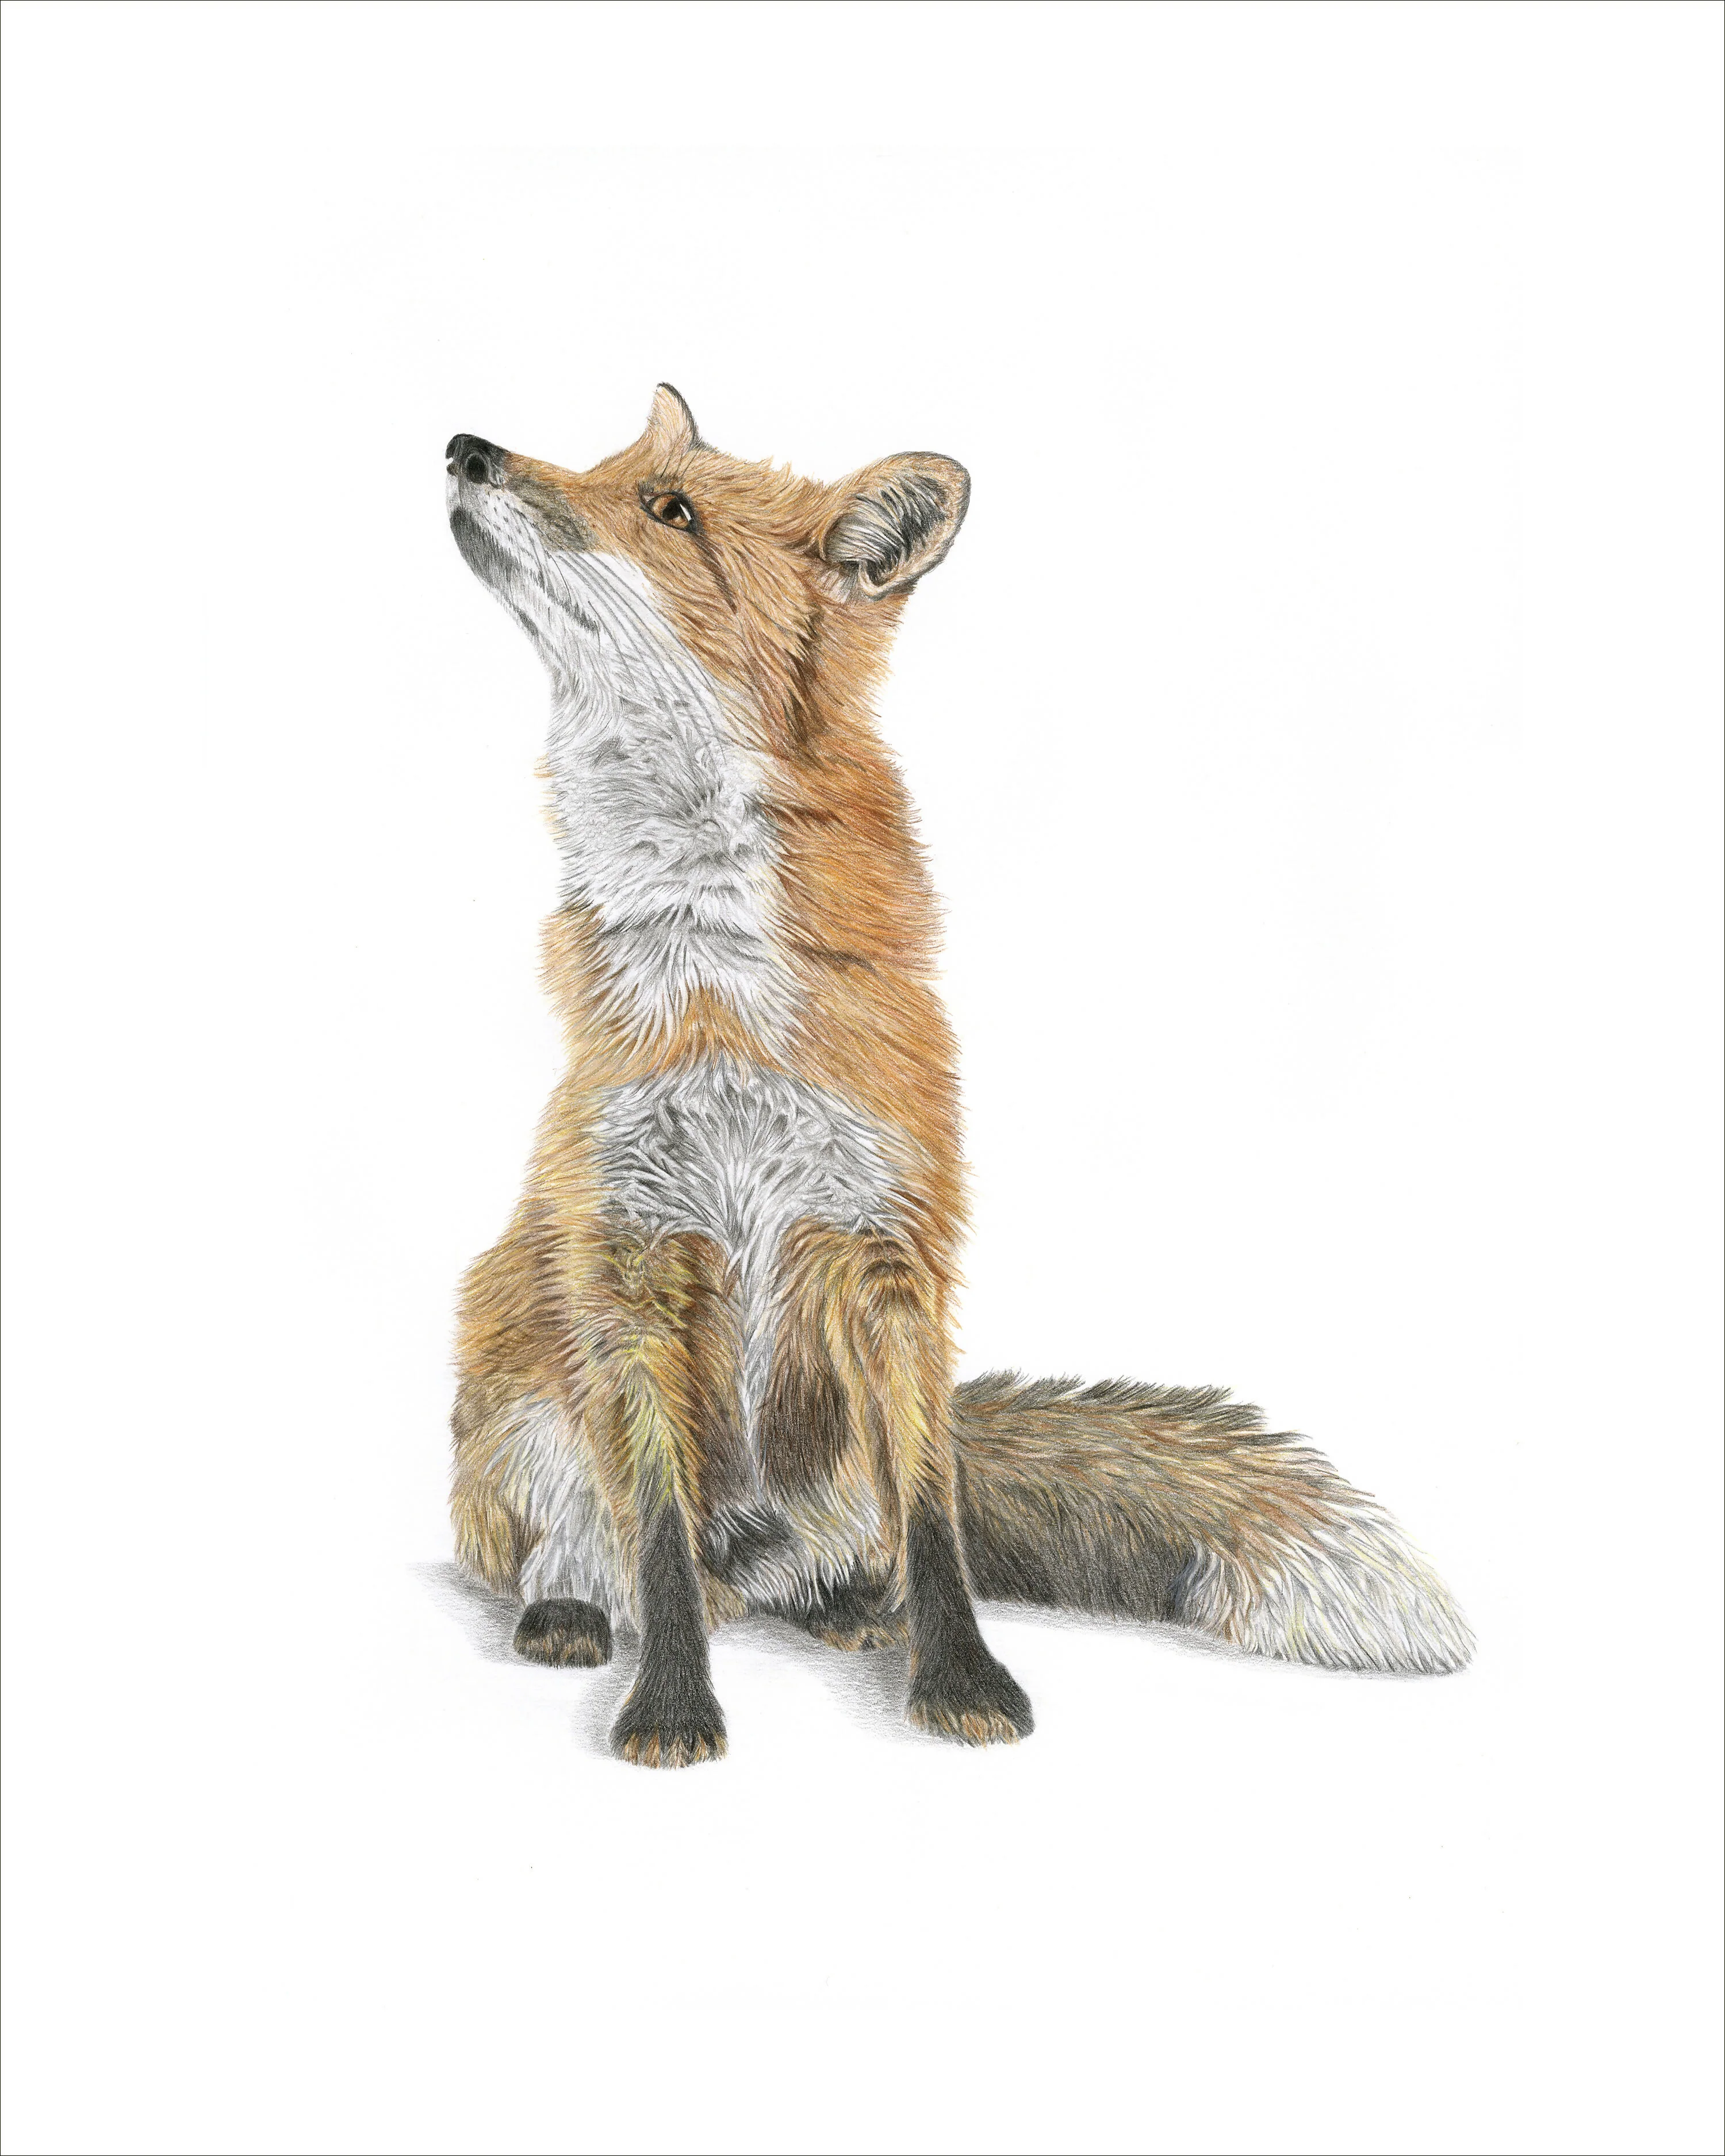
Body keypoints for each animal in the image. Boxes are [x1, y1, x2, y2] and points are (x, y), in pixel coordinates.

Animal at [444, 384, 1472, 1768]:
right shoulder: (630, 1251)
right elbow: (653, 1536)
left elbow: (935, 1520)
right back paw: (572, 1612)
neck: (714, 965)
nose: (467, 451)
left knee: (835, 1555)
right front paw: (671, 1709)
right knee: (594, 1550)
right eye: (607, 465)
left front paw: (962, 1682)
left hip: (823, 1466)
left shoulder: (893, 1246)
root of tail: (753, 1556)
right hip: (517, 1395)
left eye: (668, 508)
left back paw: (847, 1612)